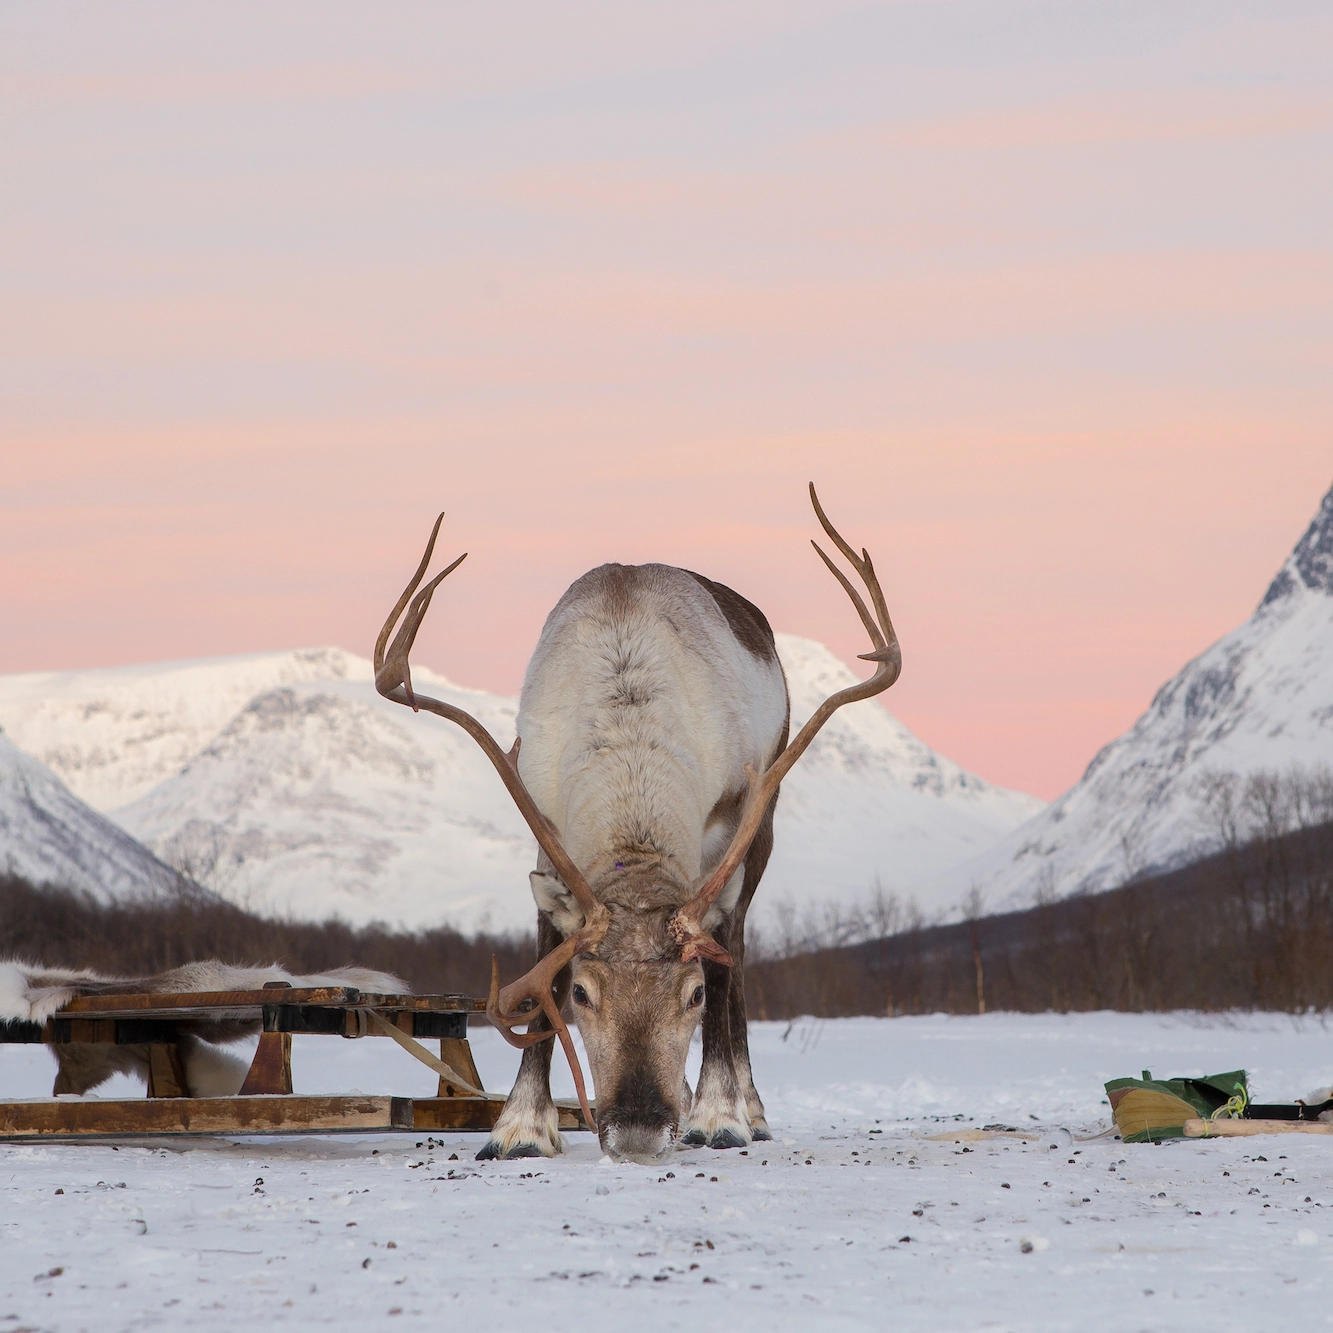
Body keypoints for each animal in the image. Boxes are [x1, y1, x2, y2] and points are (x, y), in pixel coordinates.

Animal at [374, 484, 900, 1160]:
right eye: (580, 992)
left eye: (692, 993)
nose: (639, 1130)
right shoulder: (547, 823)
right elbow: (545, 953)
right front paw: (520, 1128)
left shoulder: (729, 821)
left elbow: (723, 962)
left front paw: (718, 1117)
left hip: (766, 818)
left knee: (739, 949)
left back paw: (746, 1110)